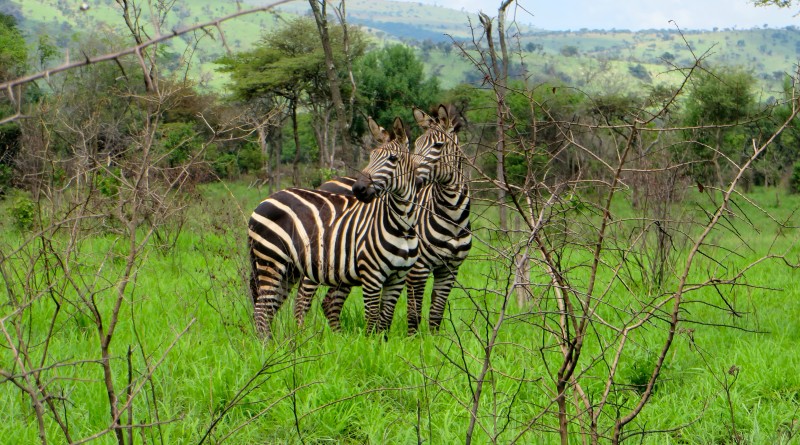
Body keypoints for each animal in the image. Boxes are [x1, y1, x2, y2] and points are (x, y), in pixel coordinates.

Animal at [248, 116, 424, 338]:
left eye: (393, 159)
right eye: (371, 156)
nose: (358, 189)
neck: (402, 225)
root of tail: (264, 201)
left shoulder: (398, 277)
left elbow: (384, 321)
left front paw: (382, 344)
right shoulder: (372, 275)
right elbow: (372, 320)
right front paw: (371, 345)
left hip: (289, 268)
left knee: (269, 308)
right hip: (271, 260)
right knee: (262, 309)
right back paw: (267, 345)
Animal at [294, 104, 468, 332]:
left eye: (439, 145)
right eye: (417, 144)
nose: (416, 180)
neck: (451, 215)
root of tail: (326, 183)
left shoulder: (450, 269)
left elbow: (436, 314)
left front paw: (433, 338)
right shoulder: (418, 268)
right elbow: (414, 313)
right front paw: (414, 339)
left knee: (330, 301)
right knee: (303, 299)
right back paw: (300, 334)